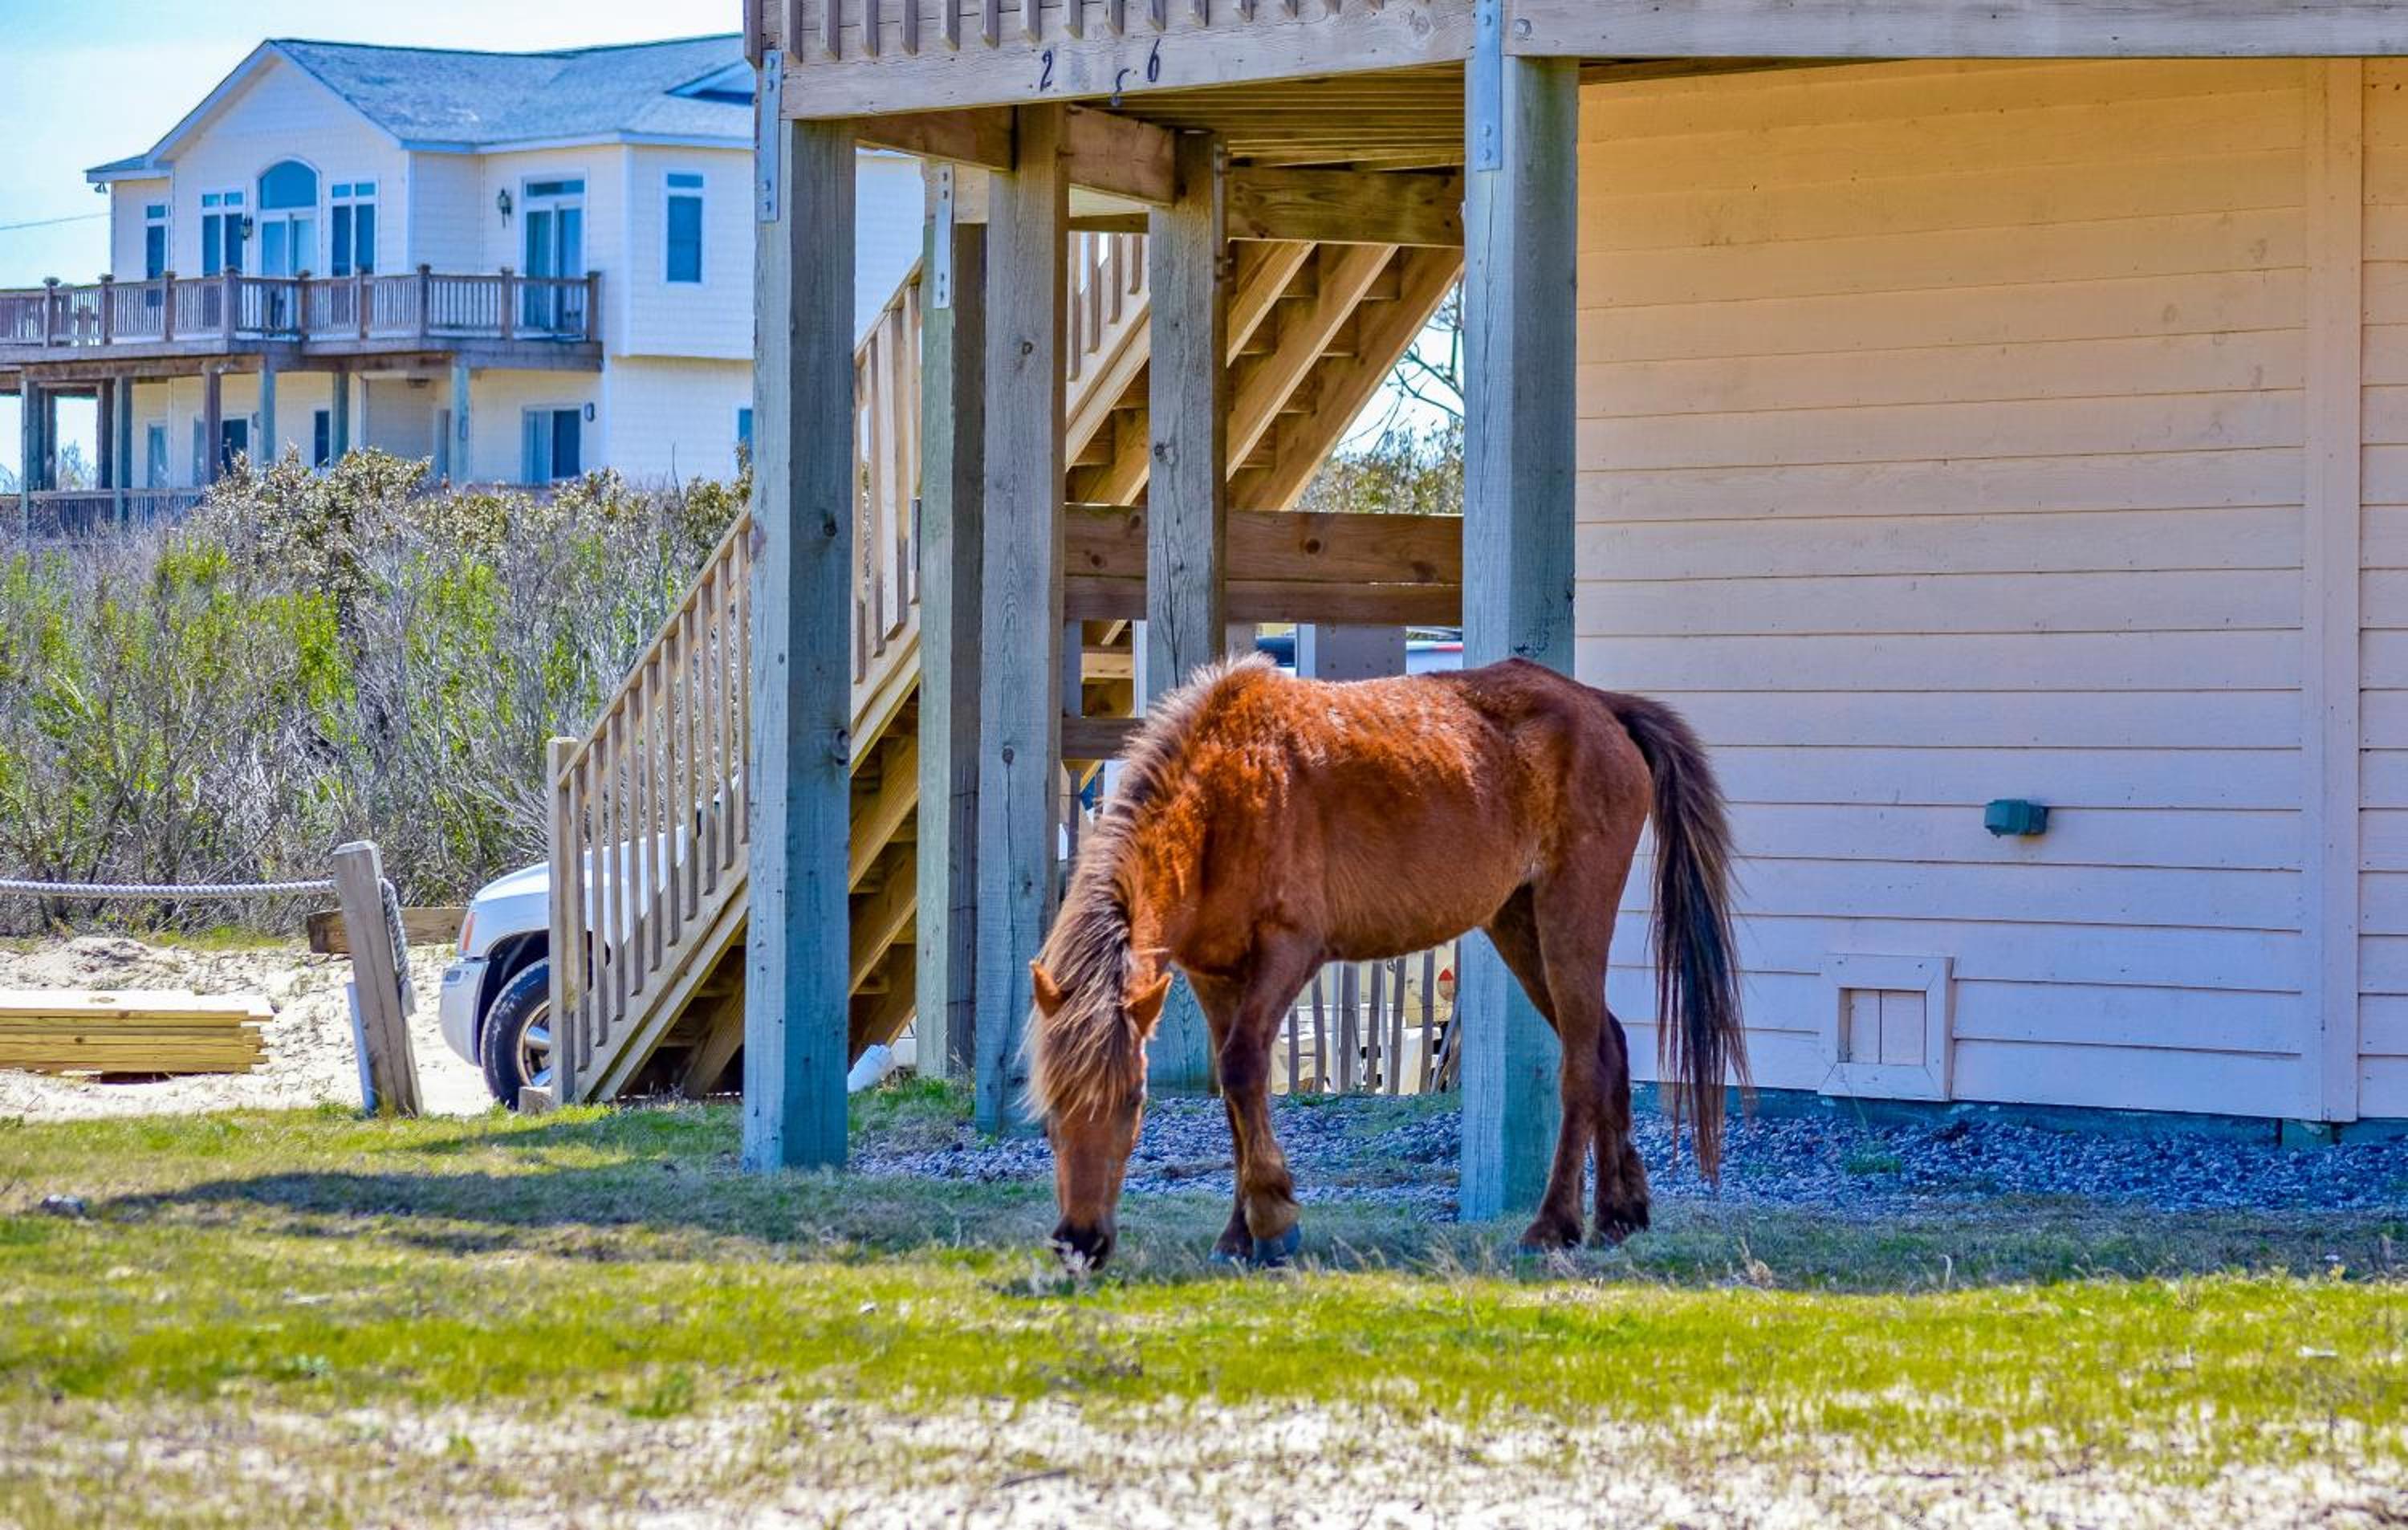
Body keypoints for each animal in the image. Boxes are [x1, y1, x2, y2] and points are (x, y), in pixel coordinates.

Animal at [1026, 654, 1746, 1270]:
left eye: (1133, 1100)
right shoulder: (1213, 977)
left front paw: (1274, 1221)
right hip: (1518, 924)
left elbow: (1242, 1068)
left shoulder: (1288, 953)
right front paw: (1240, 1232)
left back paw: (1551, 1226)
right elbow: (1236, 1096)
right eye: (1051, 1110)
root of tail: (1600, 705)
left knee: (1582, 1065)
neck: (1223, 793)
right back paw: (1619, 1214)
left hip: (1570, 914)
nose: (1080, 1241)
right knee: (1608, 1044)